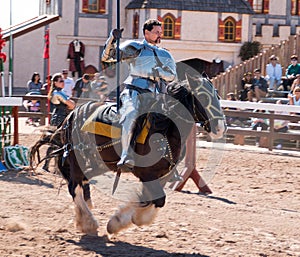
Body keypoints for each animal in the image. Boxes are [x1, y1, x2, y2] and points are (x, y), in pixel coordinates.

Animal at [30, 73, 226, 234]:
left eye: (217, 95)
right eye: (203, 97)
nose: (221, 128)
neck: (164, 128)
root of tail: (71, 115)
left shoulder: (162, 175)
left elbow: (150, 199)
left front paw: (119, 221)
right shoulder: (147, 174)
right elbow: (158, 200)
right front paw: (121, 222)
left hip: (97, 163)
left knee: (80, 182)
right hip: (78, 160)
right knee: (74, 186)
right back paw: (88, 222)